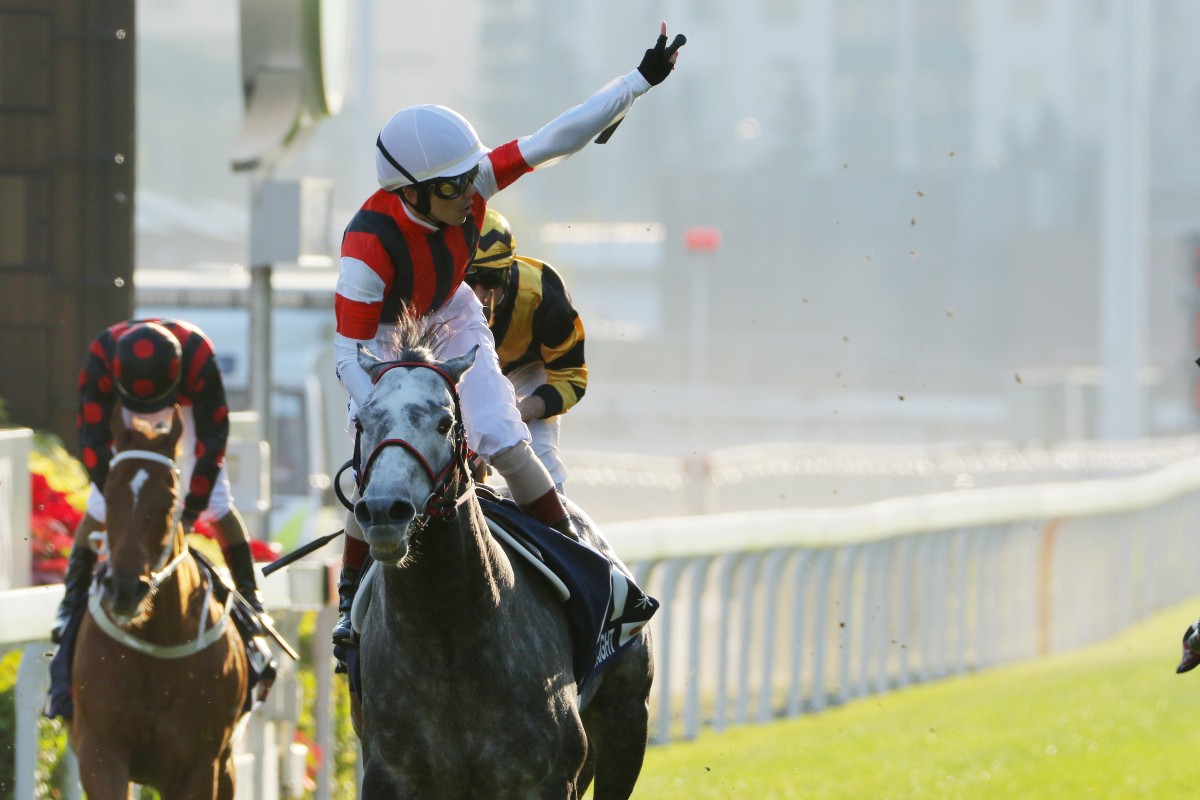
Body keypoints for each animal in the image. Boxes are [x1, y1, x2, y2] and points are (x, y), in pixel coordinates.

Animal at [70, 410, 248, 796]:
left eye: (168, 502)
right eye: (109, 496)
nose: (125, 589)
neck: (155, 644)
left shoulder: (199, 765)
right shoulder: (100, 750)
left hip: (225, 768)